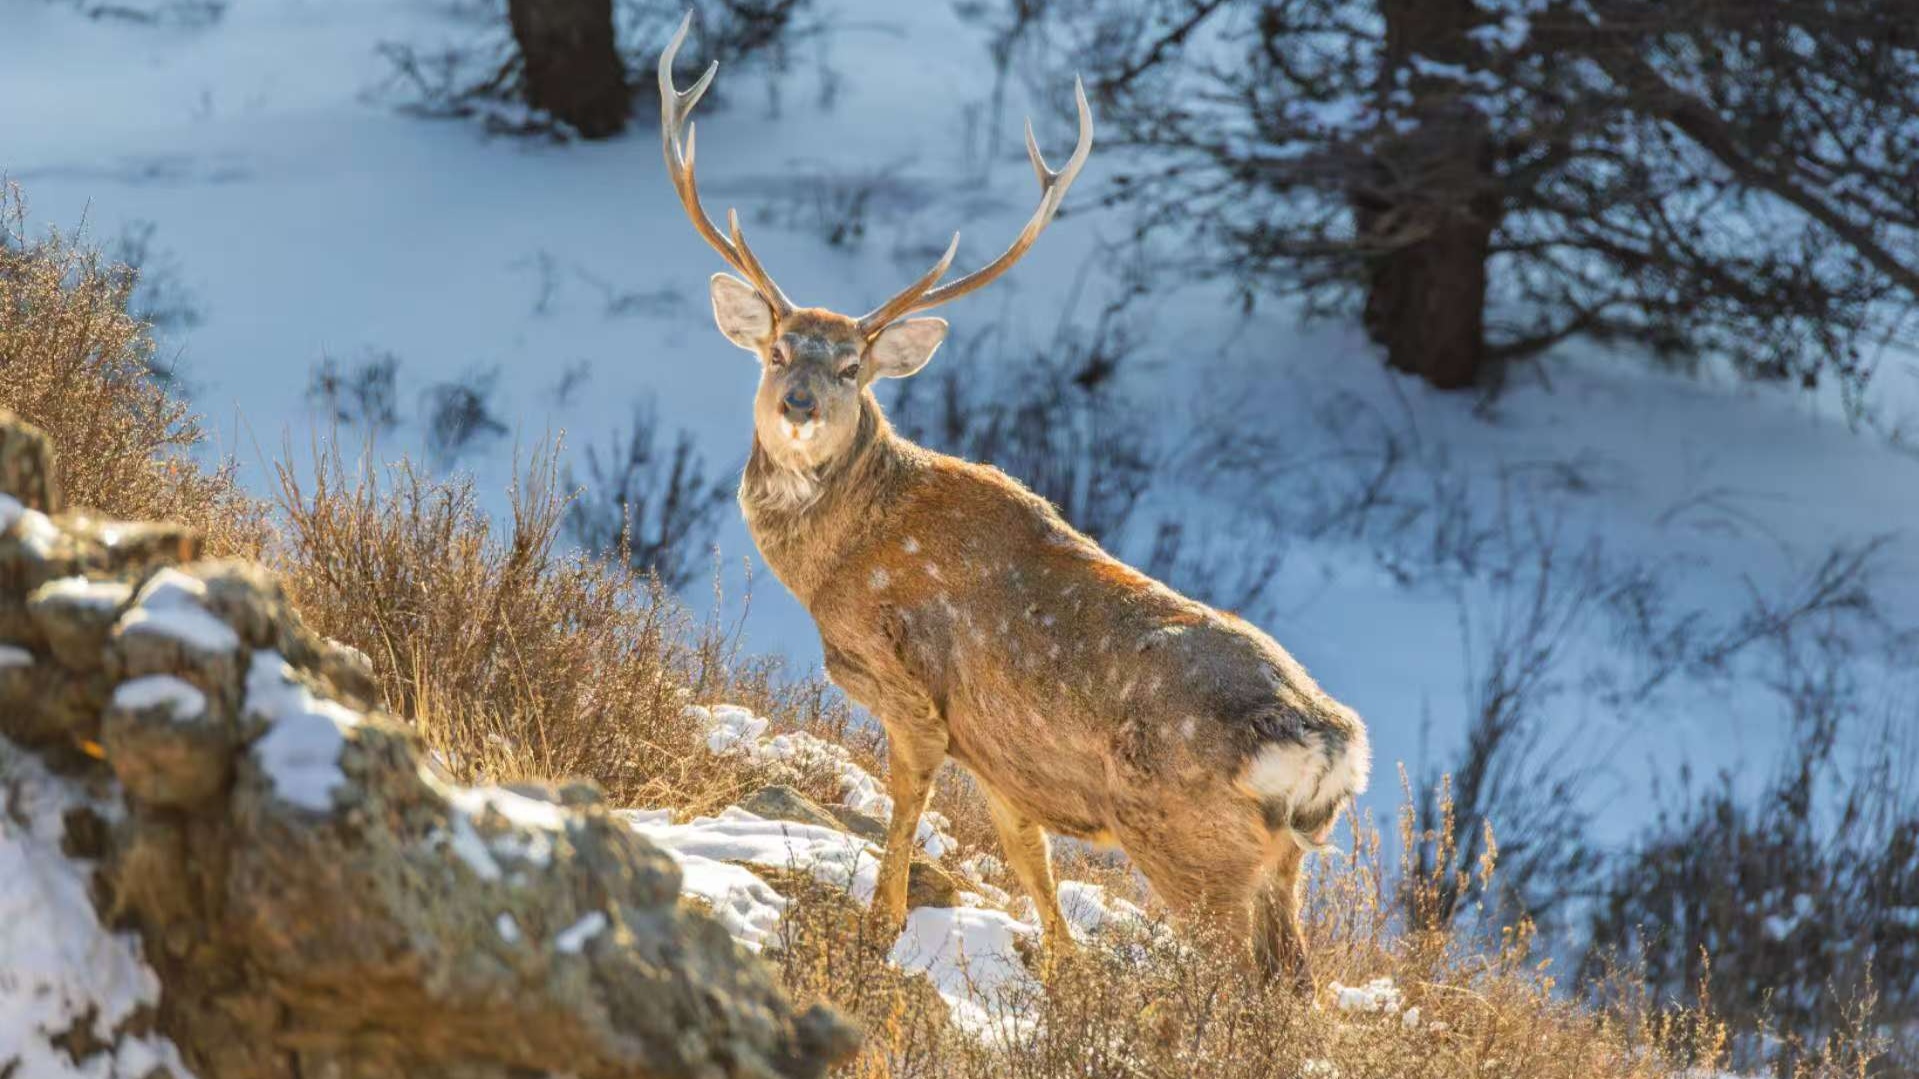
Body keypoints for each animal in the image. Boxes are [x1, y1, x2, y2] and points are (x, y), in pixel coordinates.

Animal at [657, 14, 1370, 993]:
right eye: (775, 351)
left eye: (852, 368)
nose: (798, 404)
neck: (837, 561)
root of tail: (1332, 746)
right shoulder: (996, 751)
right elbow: (1029, 859)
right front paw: (1060, 975)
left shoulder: (909, 690)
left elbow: (906, 803)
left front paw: (877, 929)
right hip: (1280, 861)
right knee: (1298, 985)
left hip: (1195, 847)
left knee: (1257, 994)